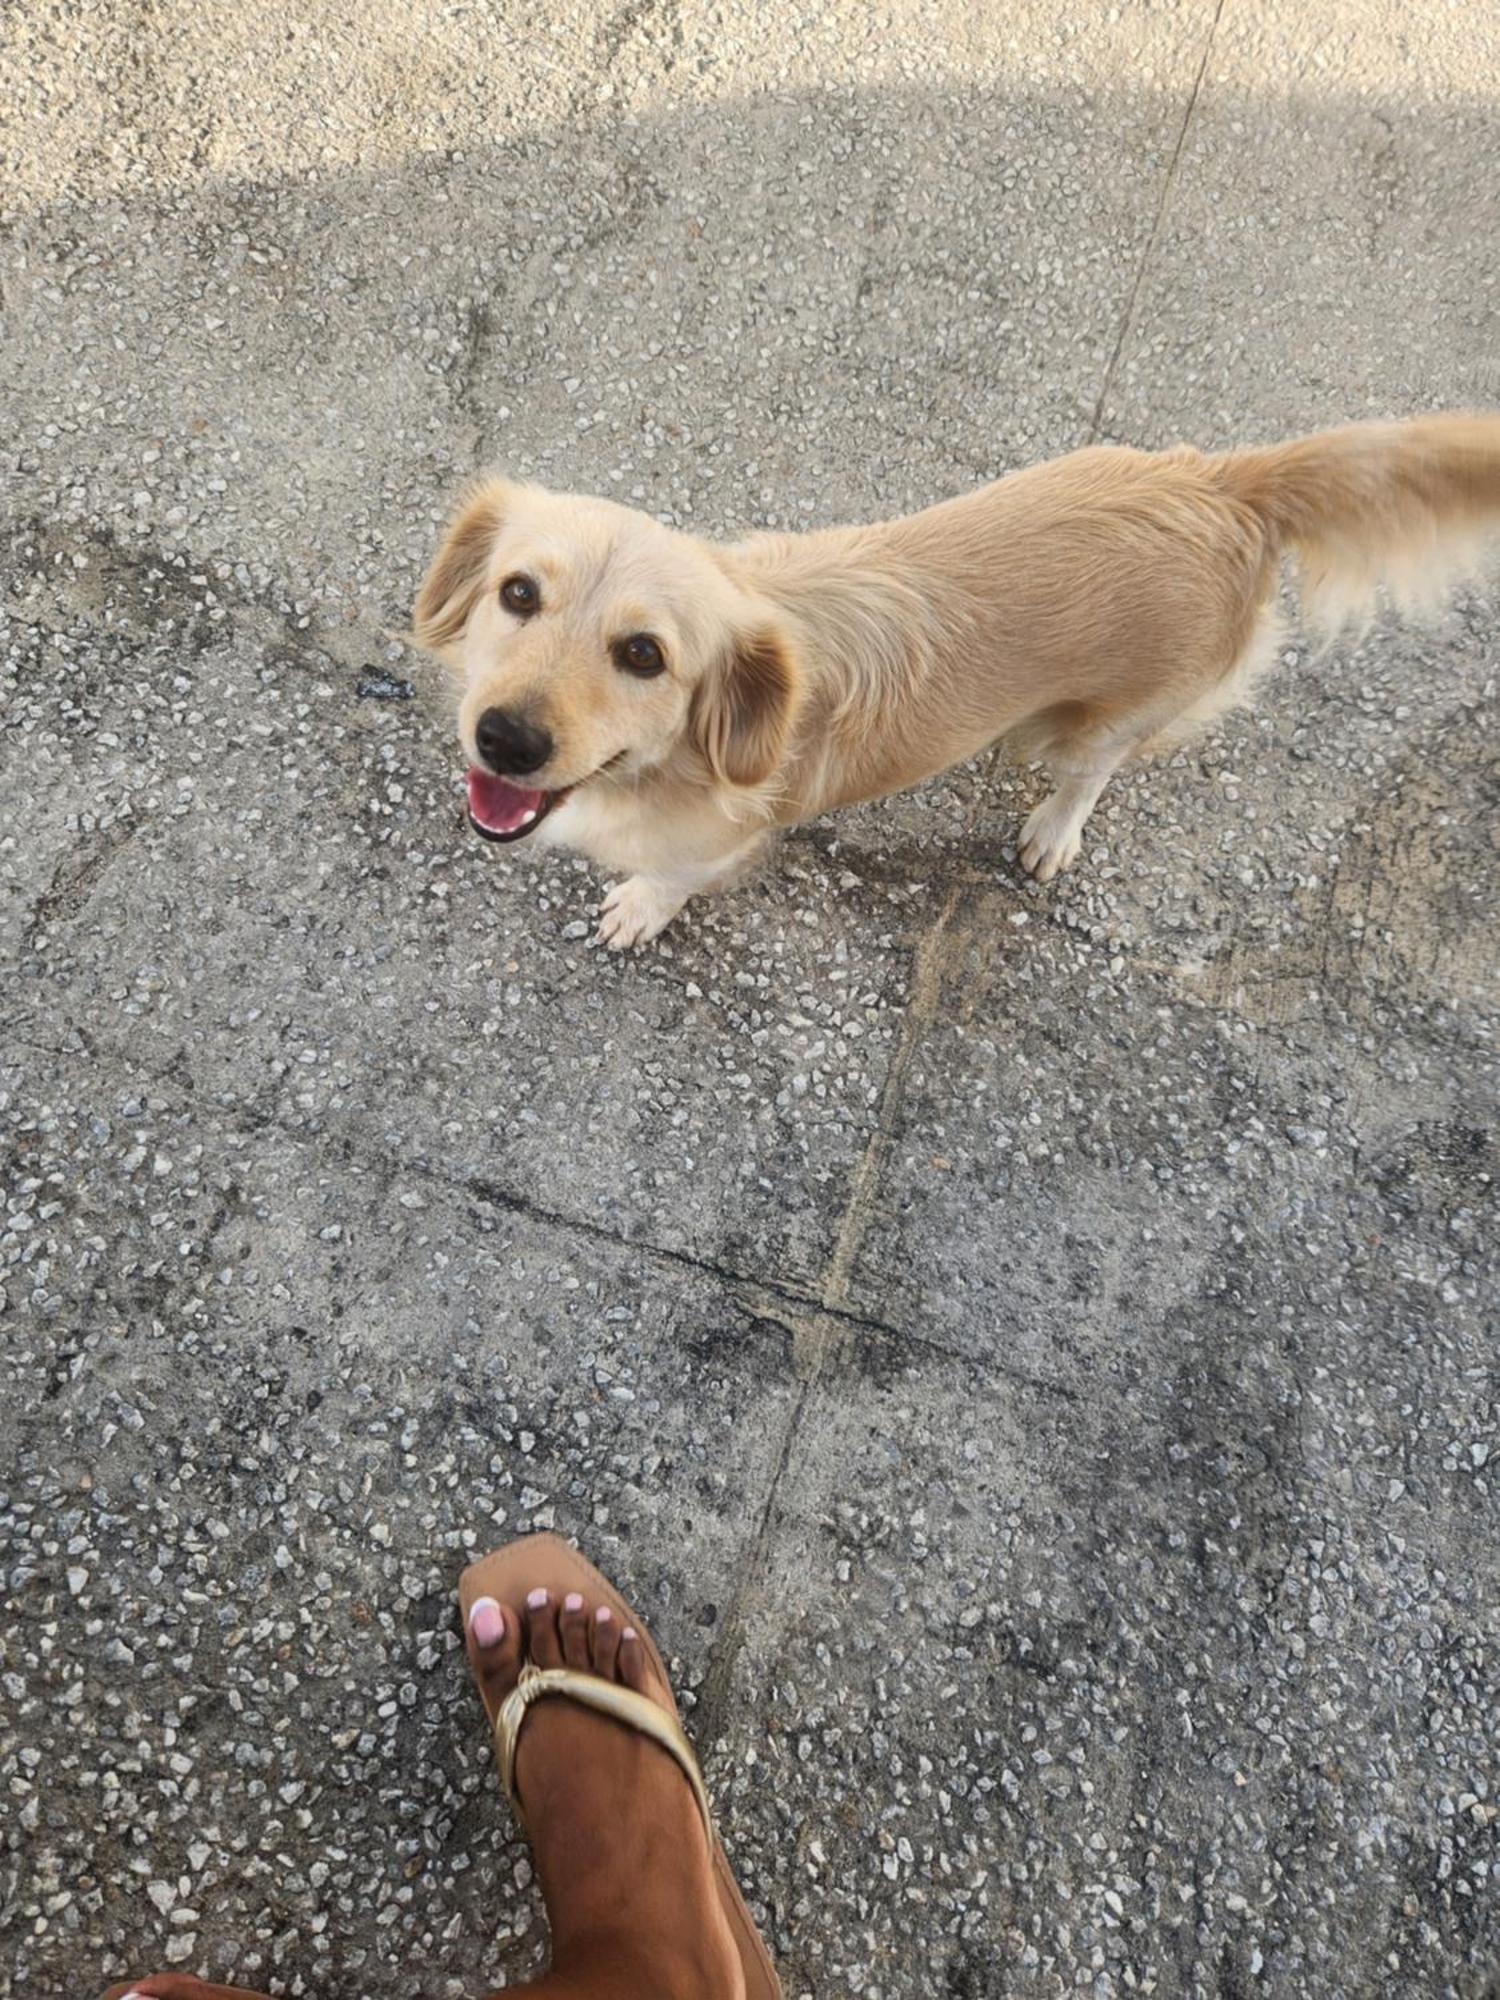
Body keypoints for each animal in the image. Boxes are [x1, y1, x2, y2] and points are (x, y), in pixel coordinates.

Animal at [412, 410, 1500, 948]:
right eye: (518, 592)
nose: (505, 738)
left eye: (645, 653)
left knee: (1092, 769)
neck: (666, 767)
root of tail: (1223, 483)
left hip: (1111, 717)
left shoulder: (714, 844)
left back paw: (1054, 825)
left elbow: (671, 880)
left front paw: (640, 908)